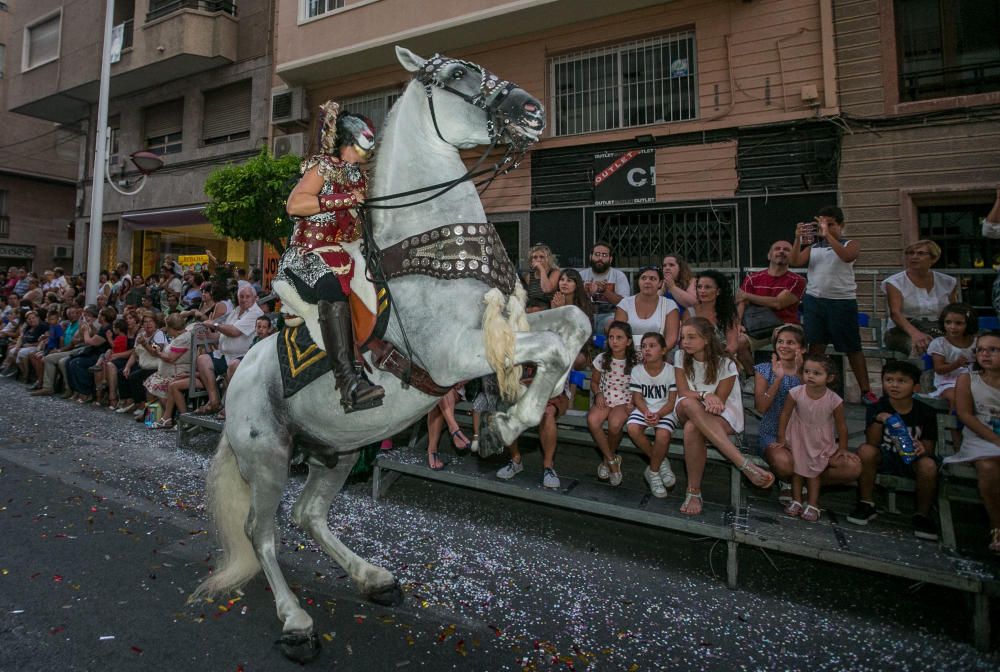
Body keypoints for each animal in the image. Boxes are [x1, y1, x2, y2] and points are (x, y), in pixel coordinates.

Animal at [191, 47, 588, 660]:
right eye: (457, 75)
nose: (531, 111)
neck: (431, 247)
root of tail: (234, 380)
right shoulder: (453, 353)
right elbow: (549, 346)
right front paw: (506, 421)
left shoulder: (500, 328)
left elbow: (573, 325)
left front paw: (519, 410)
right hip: (269, 456)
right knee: (263, 530)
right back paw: (296, 621)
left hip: (336, 451)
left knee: (308, 514)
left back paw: (372, 578)